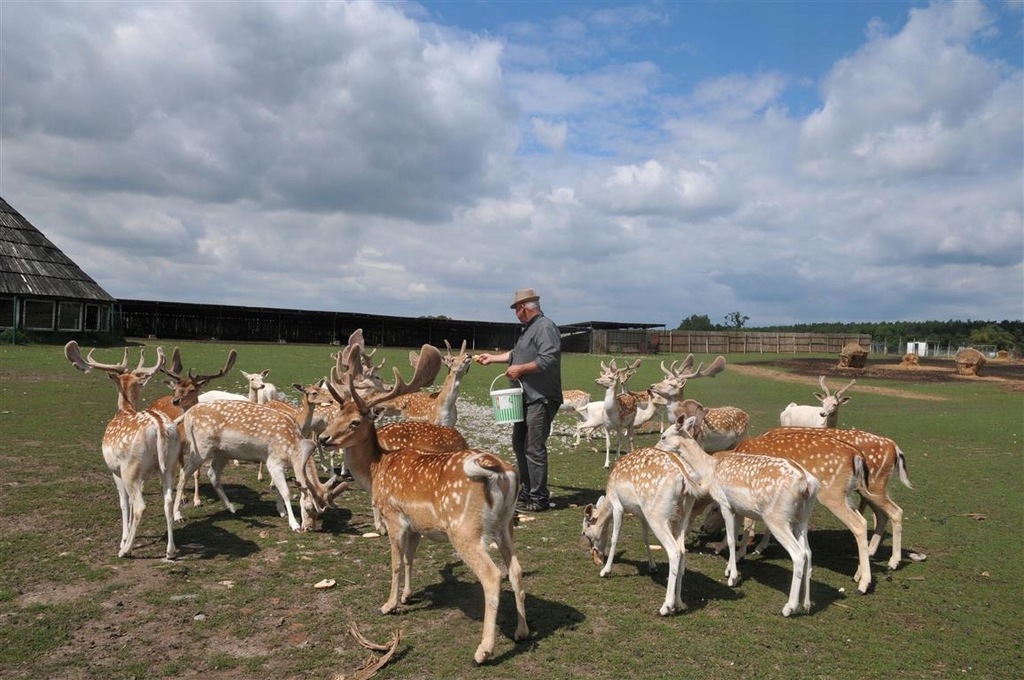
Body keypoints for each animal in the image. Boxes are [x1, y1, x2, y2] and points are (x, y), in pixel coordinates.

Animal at [63, 342, 182, 561]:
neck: (124, 410)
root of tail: (160, 427)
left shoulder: (115, 470)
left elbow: (124, 503)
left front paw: (123, 539)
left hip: (130, 468)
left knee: (140, 505)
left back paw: (125, 550)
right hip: (169, 466)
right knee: (168, 500)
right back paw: (170, 551)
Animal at [581, 446, 700, 614]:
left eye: (585, 533)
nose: (597, 559)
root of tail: (684, 477)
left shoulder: (618, 505)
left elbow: (615, 537)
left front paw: (605, 571)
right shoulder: (641, 514)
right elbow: (645, 537)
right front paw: (652, 567)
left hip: (657, 515)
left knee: (674, 550)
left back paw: (666, 606)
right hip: (682, 517)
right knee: (683, 549)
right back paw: (679, 603)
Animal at [659, 417, 819, 618]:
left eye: (664, 436)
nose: (656, 448)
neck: (710, 469)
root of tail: (806, 484)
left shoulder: (725, 503)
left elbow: (731, 539)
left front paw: (732, 577)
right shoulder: (737, 508)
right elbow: (735, 535)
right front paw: (729, 569)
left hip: (778, 518)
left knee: (798, 554)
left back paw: (789, 607)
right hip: (803, 518)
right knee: (808, 551)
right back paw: (807, 604)